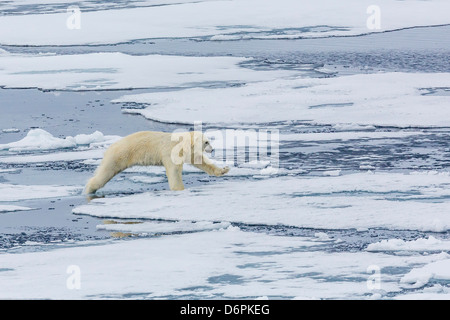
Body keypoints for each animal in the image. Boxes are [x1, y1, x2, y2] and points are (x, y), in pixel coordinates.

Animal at [85, 129, 230, 194]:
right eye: (207, 142)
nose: (212, 149)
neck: (182, 142)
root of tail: (110, 147)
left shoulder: (187, 152)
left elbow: (200, 161)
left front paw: (224, 170)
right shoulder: (170, 151)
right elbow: (174, 171)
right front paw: (180, 189)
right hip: (120, 155)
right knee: (106, 172)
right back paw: (89, 189)